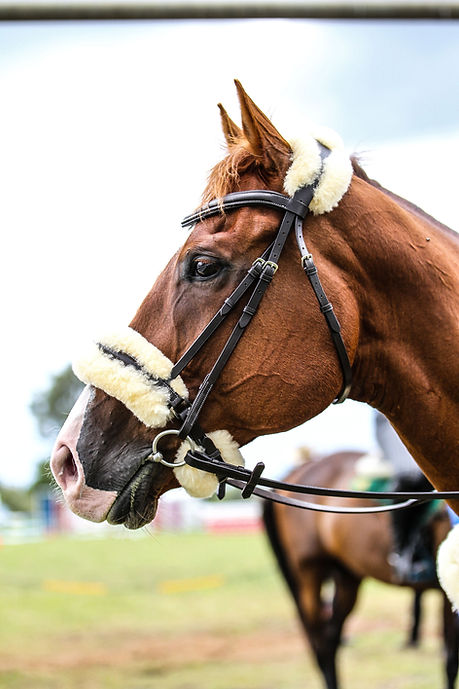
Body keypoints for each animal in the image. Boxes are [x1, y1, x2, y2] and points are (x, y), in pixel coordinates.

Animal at [262, 452, 459, 688]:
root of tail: (301, 469)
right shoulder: (448, 596)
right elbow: (451, 660)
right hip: (310, 570)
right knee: (321, 642)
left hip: (346, 576)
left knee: (331, 638)